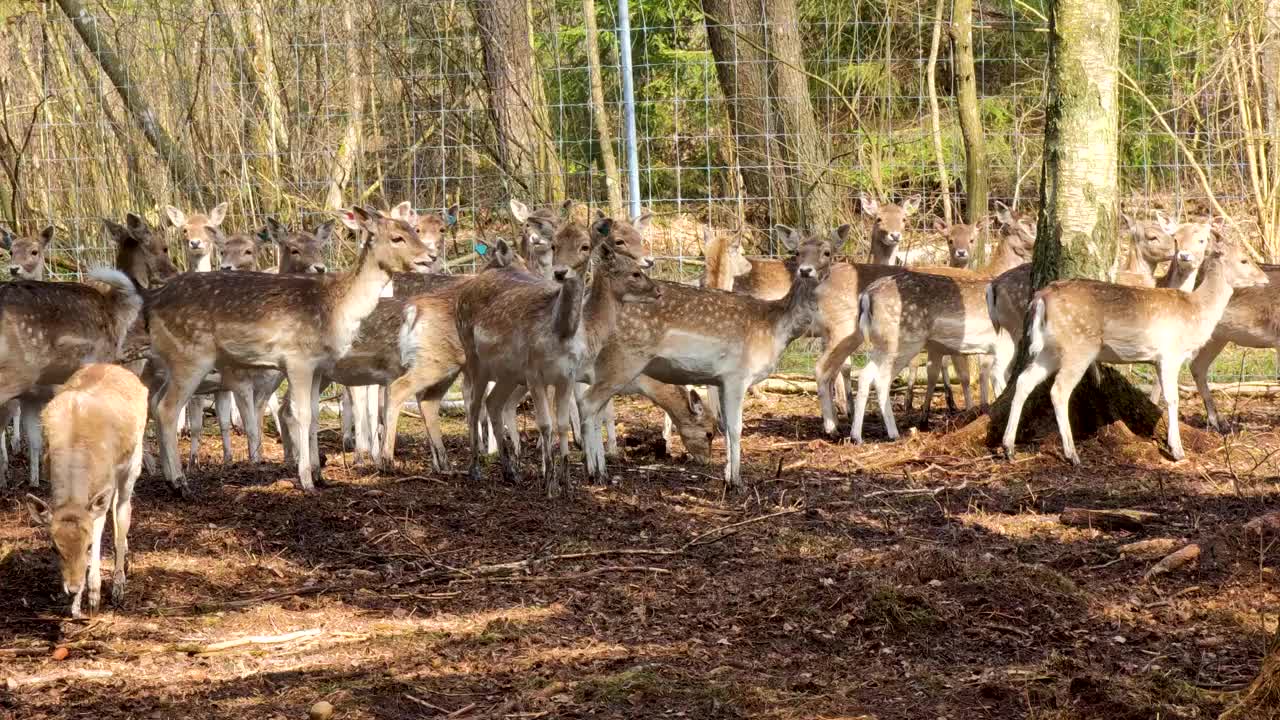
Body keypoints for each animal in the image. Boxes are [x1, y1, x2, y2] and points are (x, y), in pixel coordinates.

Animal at [23, 363, 146, 617]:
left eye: (88, 546)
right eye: (54, 548)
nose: (71, 587)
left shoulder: (102, 490)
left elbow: (99, 531)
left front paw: (93, 598)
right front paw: (75, 605)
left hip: (134, 461)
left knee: (123, 509)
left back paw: (118, 585)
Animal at [147, 204, 432, 489]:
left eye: (413, 229)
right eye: (397, 237)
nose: (430, 256)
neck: (336, 308)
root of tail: (151, 304)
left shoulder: (318, 366)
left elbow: (314, 415)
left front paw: (319, 474)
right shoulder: (298, 360)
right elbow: (300, 413)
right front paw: (305, 479)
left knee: (155, 403)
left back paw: (167, 474)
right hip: (191, 357)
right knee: (167, 408)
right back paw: (179, 481)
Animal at [998, 226, 1269, 461]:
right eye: (1244, 260)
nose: (1266, 278)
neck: (1196, 311)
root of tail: (1041, 298)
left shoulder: (1159, 359)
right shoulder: (1170, 354)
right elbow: (1172, 399)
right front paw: (1177, 451)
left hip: (1050, 349)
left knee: (1024, 380)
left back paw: (1009, 447)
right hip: (1079, 346)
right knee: (1059, 390)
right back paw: (1071, 454)